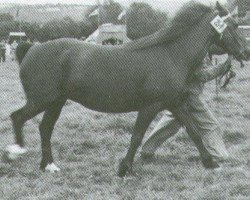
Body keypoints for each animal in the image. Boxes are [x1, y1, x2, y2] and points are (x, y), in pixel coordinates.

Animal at [5, 1, 250, 177]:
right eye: (235, 26)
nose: (245, 52)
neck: (171, 55)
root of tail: (32, 48)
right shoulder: (150, 106)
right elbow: (137, 136)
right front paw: (124, 168)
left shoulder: (175, 103)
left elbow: (194, 131)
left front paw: (210, 163)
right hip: (42, 100)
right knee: (18, 117)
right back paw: (16, 151)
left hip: (56, 102)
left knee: (45, 128)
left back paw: (49, 165)